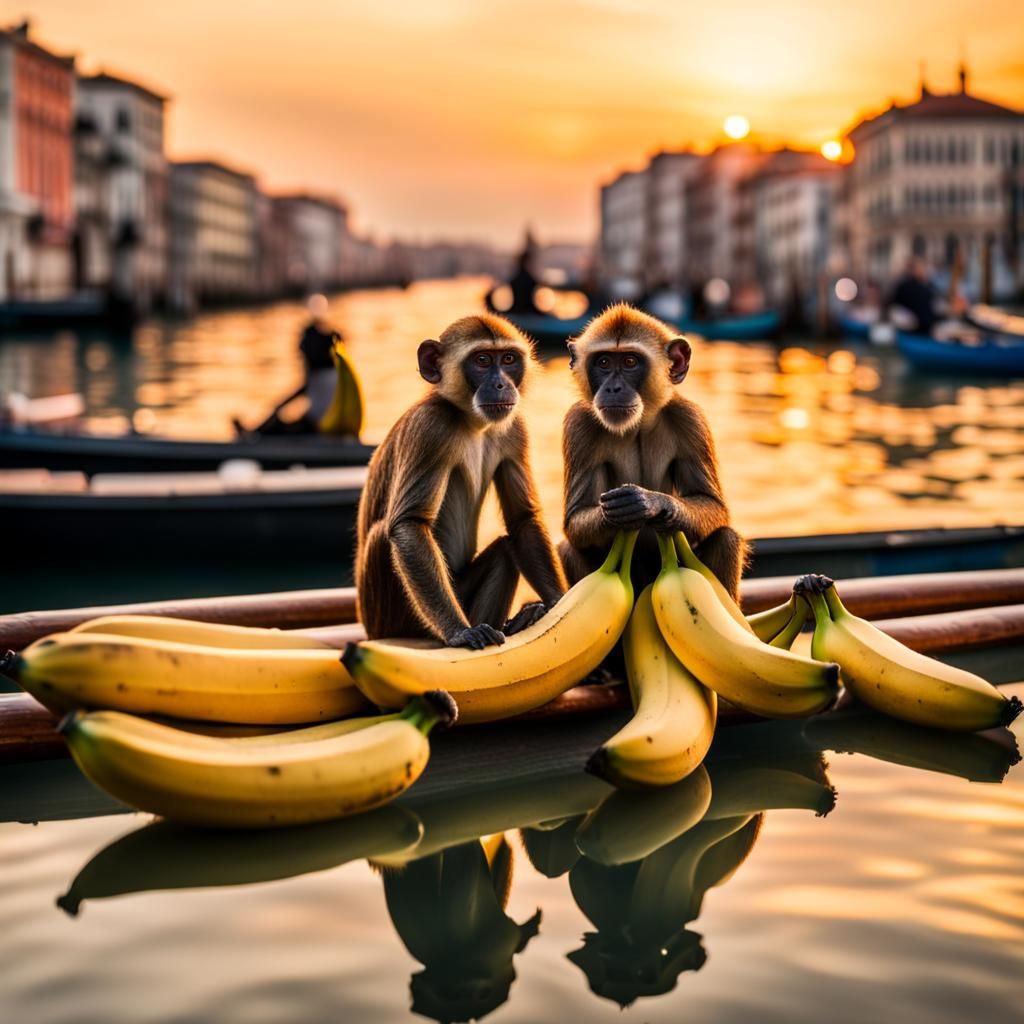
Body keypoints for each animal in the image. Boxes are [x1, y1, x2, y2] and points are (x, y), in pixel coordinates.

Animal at [355, 314, 567, 649]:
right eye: (482, 361)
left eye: (508, 360)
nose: (500, 384)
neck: (472, 423)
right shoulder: (430, 427)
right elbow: (409, 524)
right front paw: (458, 630)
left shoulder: (515, 428)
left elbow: (521, 518)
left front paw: (558, 601)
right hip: (390, 621)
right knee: (382, 534)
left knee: (504, 552)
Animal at [559, 304, 747, 599]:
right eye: (603, 363)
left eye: (629, 362)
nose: (613, 388)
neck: (637, 424)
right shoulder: (579, 425)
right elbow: (575, 519)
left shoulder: (690, 419)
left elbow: (713, 505)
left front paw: (653, 502)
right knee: (572, 548)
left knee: (725, 537)